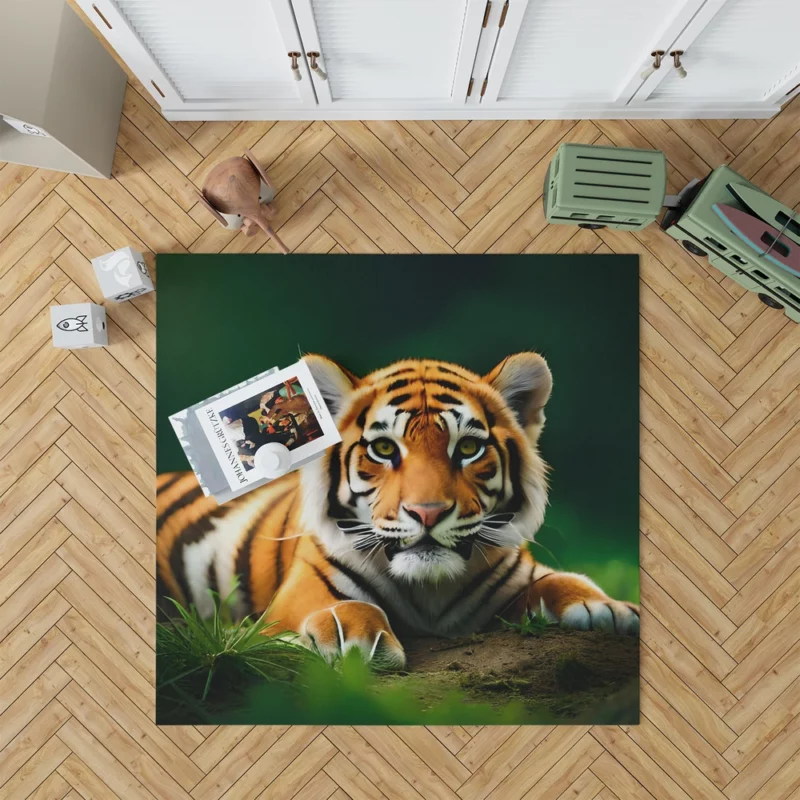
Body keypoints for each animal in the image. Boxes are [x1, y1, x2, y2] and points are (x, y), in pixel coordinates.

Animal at [159, 354, 640, 664]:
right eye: (385, 449)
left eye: (468, 448)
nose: (427, 513)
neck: (429, 593)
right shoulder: (301, 590)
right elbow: (346, 605)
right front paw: (353, 636)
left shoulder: (518, 572)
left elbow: (564, 579)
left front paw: (608, 608)